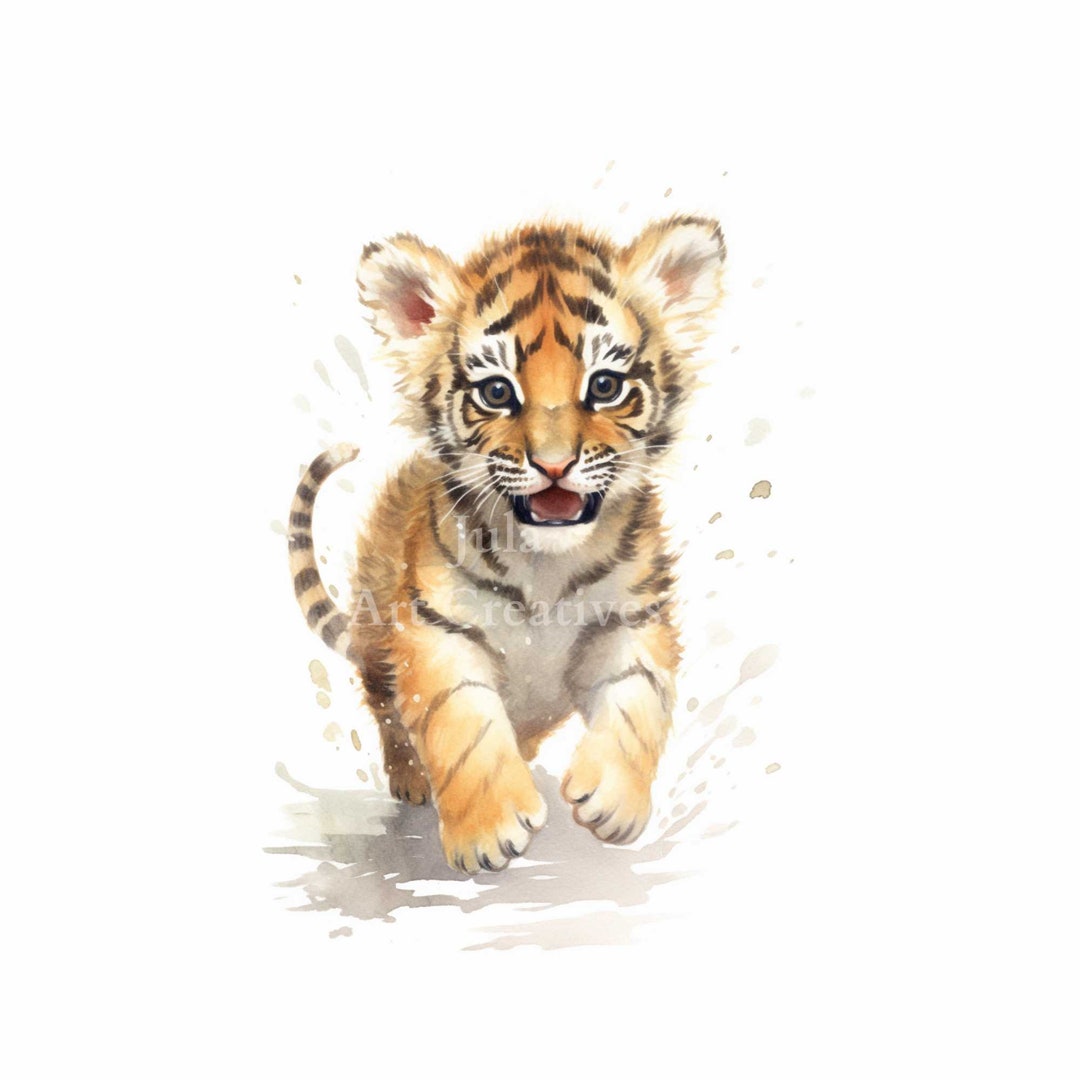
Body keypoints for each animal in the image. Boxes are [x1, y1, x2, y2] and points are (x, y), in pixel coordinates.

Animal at [288, 215, 727, 873]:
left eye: (605, 385)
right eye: (496, 393)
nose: (554, 465)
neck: (546, 563)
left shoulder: (631, 620)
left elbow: (637, 704)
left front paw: (615, 803)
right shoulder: (437, 629)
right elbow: (461, 720)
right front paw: (486, 832)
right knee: (389, 713)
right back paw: (412, 780)